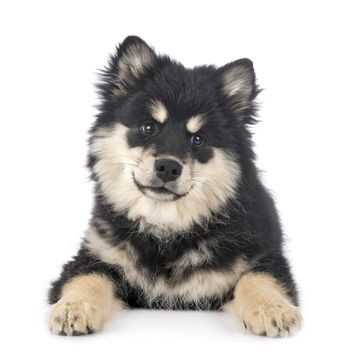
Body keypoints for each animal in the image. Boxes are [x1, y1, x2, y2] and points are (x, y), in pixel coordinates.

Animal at [47, 35, 304, 336]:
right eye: (148, 127)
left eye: (198, 139)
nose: (168, 167)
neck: (167, 228)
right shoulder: (93, 256)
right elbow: (87, 279)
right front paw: (73, 309)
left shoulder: (264, 257)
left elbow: (258, 279)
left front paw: (271, 310)